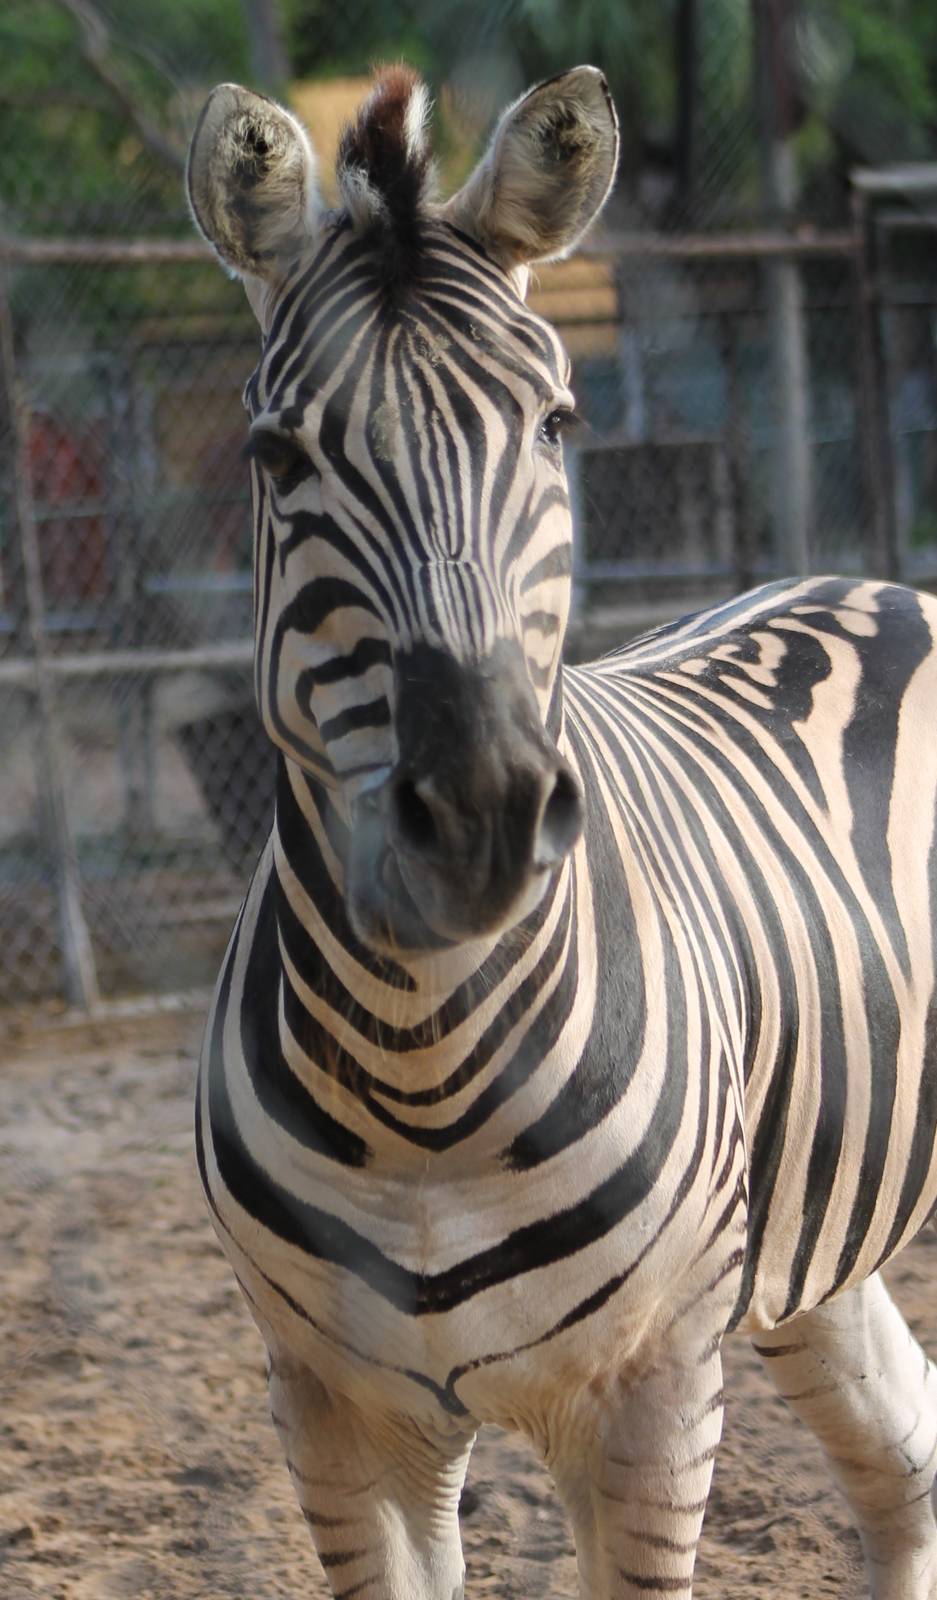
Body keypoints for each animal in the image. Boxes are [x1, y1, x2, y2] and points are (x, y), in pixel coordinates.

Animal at [187, 63, 937, 1600]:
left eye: (555, 428)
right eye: (278, 455)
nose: (479, 815)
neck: (416, 1091)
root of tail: (877, 583)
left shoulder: (653, 1396)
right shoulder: (328, 1408)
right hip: (807, 1249)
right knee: (904, 1460)